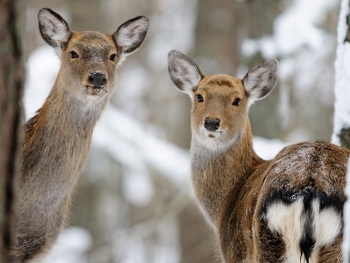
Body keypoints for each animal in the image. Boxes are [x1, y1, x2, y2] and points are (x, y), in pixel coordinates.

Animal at [167, 50, 350, 263]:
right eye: (199, 96)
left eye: (237, 100)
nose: (211, 122)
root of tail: (310, 186)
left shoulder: (235, 253)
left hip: (266, 238)